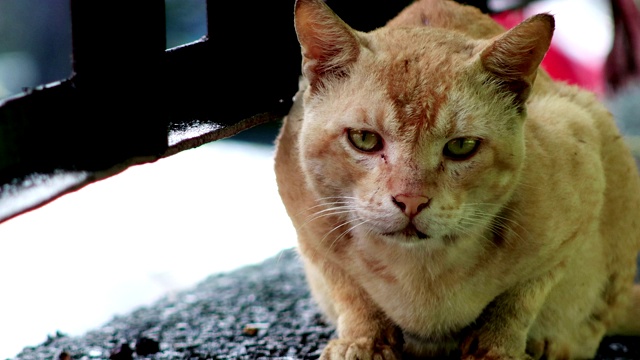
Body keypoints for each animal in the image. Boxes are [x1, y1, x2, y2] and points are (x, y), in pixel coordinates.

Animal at [272, 0, 640, 358]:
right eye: (364, 139)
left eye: (461, 146)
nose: (411, 201)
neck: (421, 272)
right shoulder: (311, 233)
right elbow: (350, 290)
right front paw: (364, 343)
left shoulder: (577, 195)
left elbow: (520, 299)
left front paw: (496, 347)